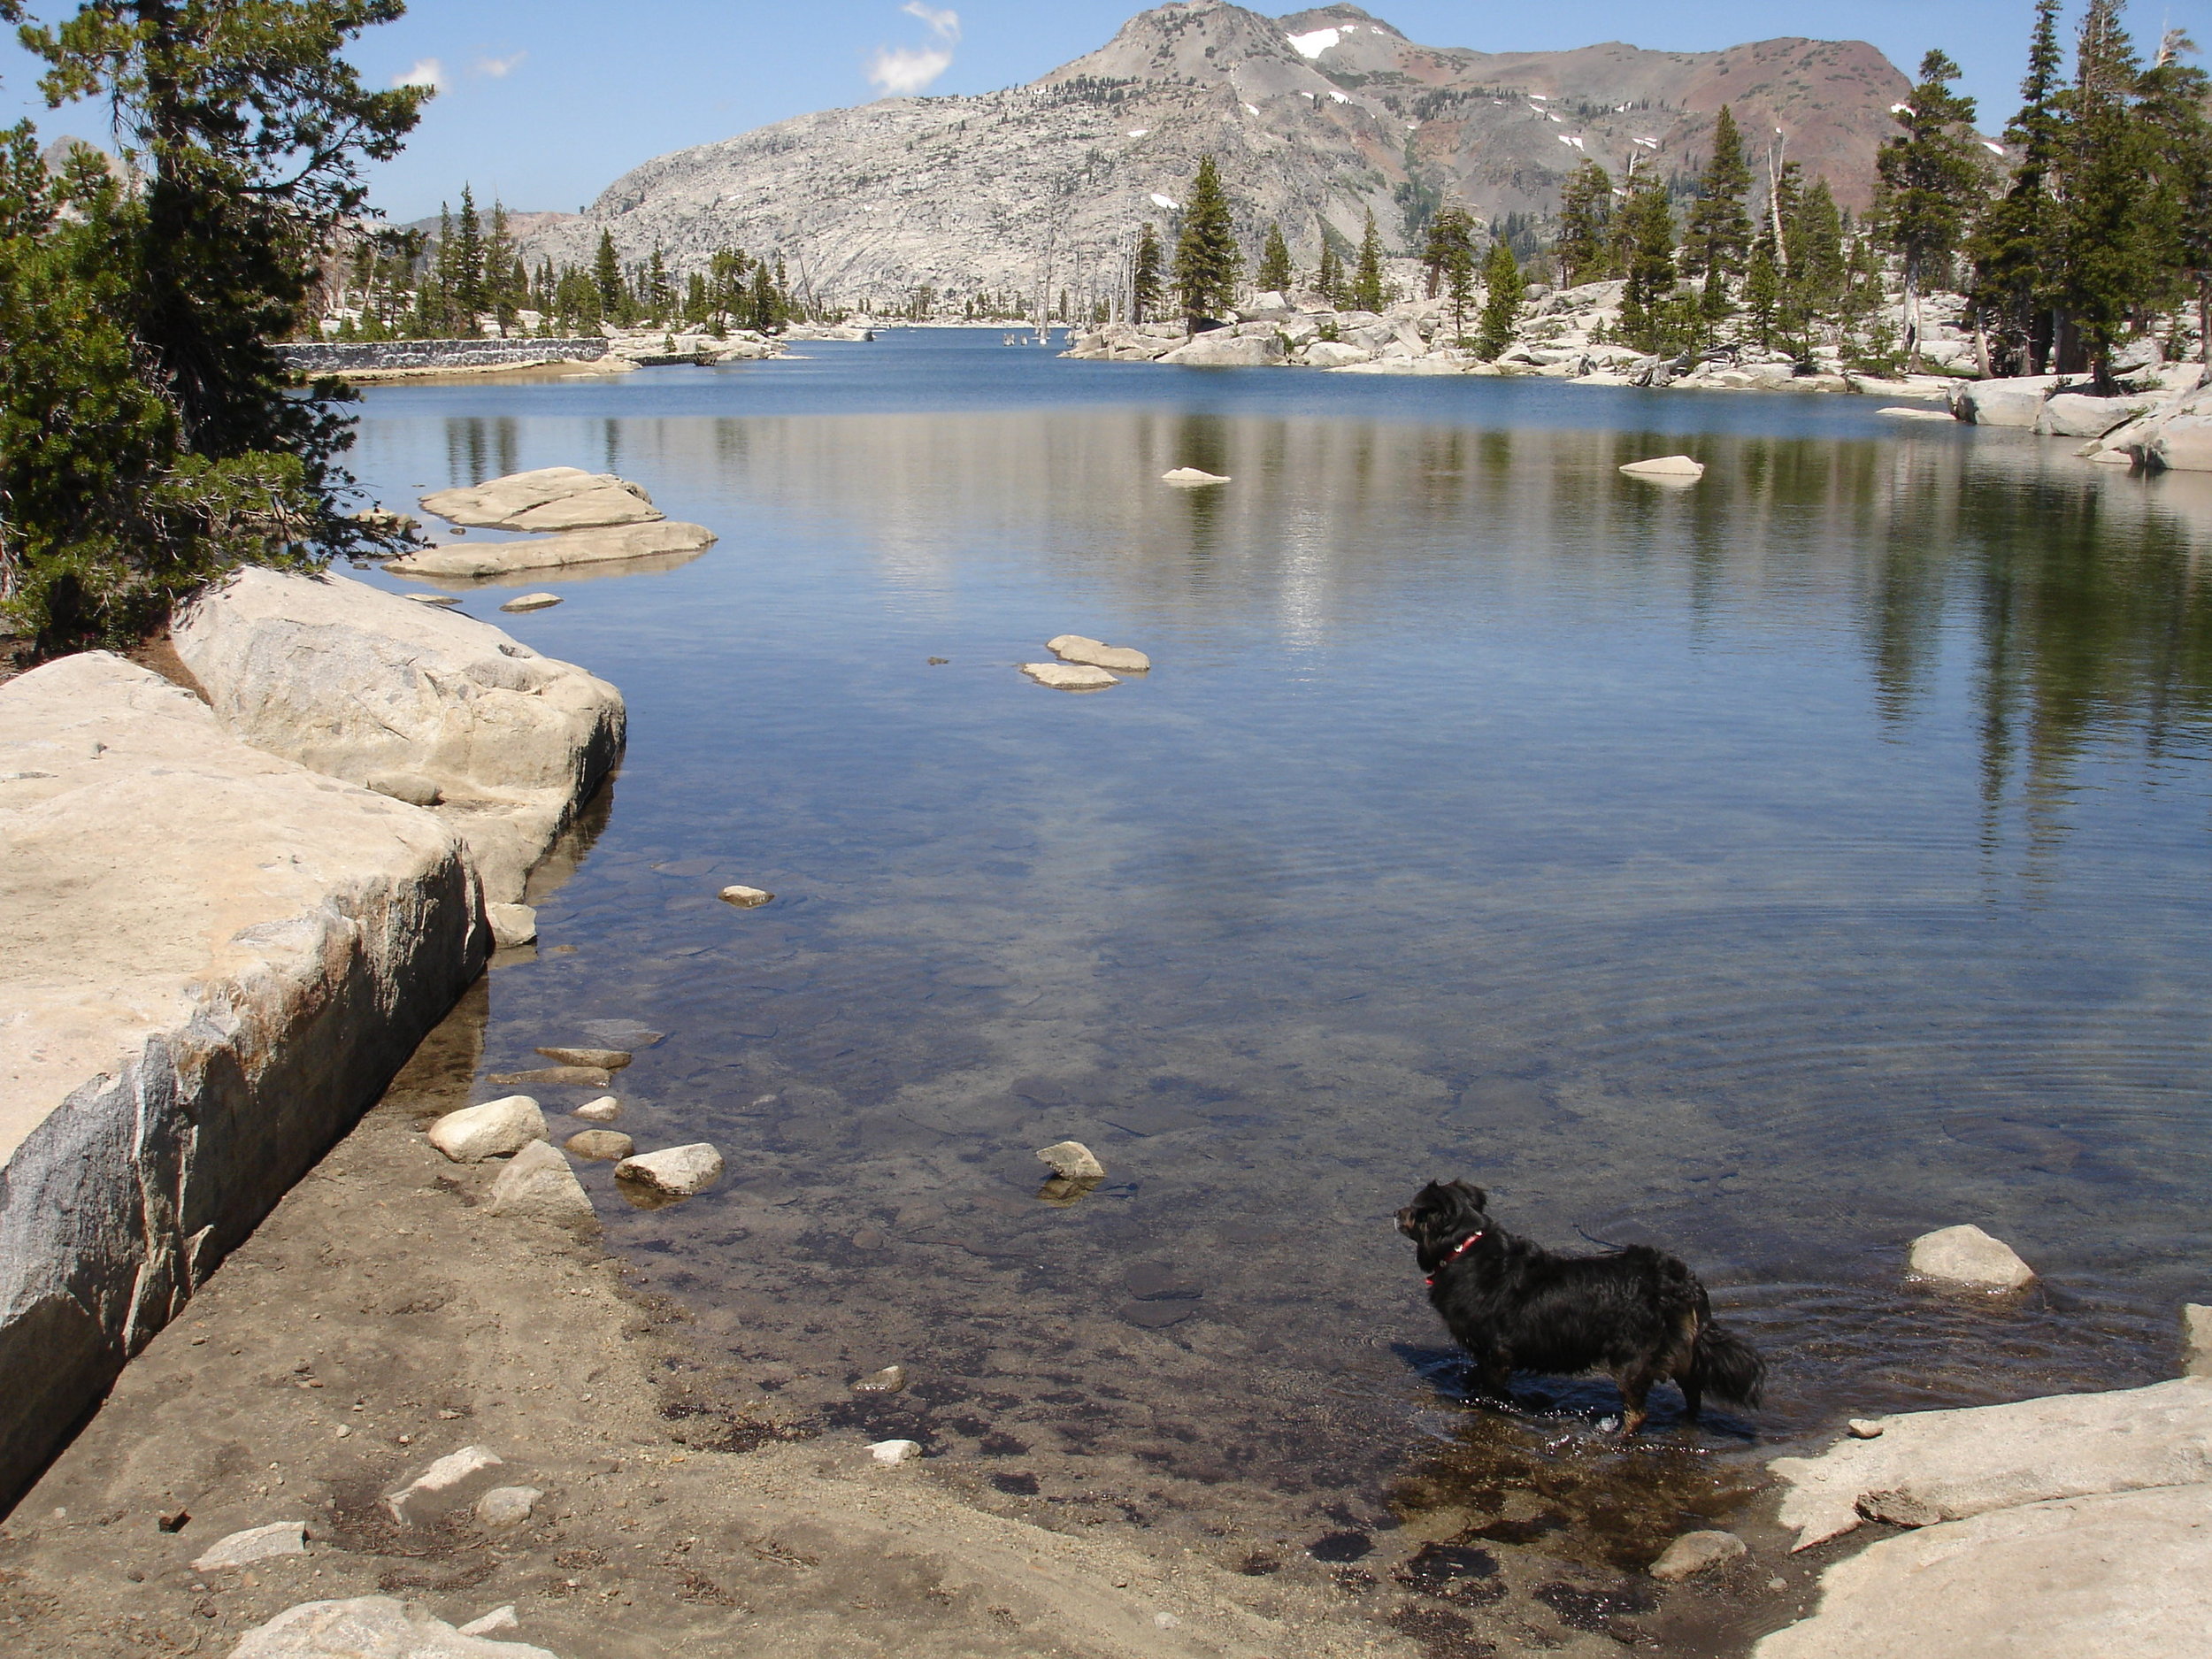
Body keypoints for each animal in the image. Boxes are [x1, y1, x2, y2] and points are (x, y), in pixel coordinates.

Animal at [1389, 1177, 1770, 1433]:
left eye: (1413, 1210)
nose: (1394, 1211)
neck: (1463, 1247)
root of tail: (1677, 1280)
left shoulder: (1497, 1352)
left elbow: (1490, 1390)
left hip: (1630, 1360)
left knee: (1639, 1412)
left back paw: (1616, 1438)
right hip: (1680, 1351)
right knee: (1693, 1390)